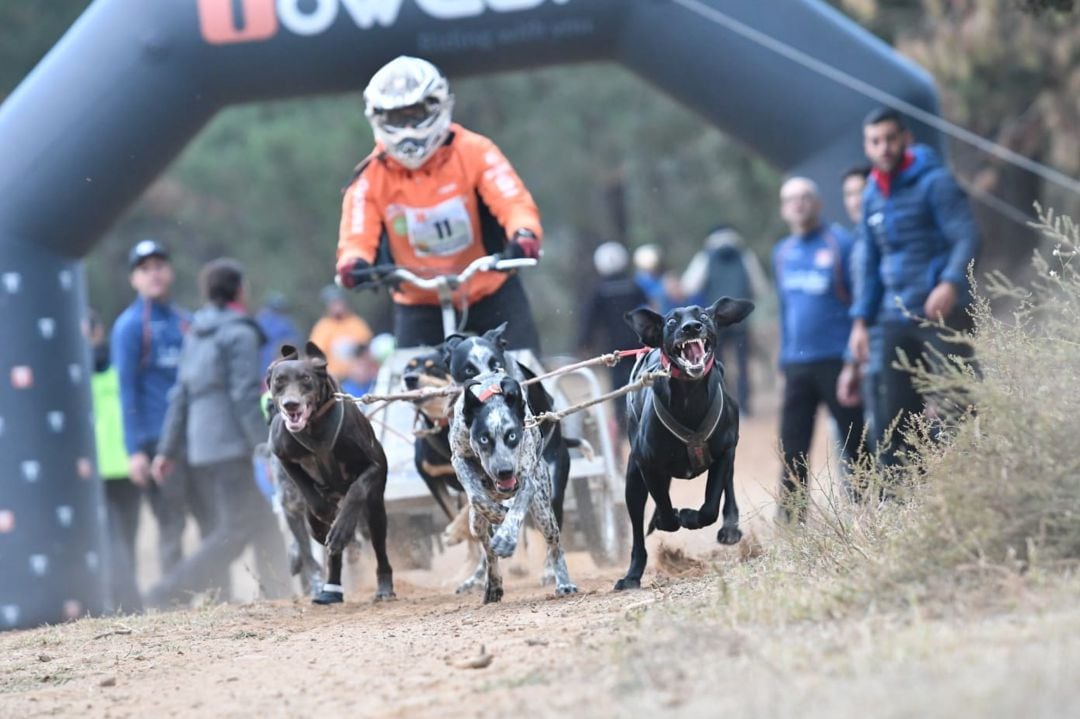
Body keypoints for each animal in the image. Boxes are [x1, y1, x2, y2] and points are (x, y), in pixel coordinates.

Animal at [267, 341, 395, 600]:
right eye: (279, 381)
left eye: (306, 378)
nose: (291, 404)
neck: (314, 428)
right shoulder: (283, 456)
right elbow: (307, 489)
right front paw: (325, 509)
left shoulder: (374, 465)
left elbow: (356, 491)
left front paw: (342, 528)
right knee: (328, 550)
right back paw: (331, 589)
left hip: (376, 511)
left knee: (377, 545)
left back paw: (383, 585)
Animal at [449, 369, 578, 600]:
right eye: (484, 439)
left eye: (512, 435)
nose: (505, 471)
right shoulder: (459, 459)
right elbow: (477, 497)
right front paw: (498, 515)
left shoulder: (527, 481)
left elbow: (516, 512)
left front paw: (506, 538)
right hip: (476, 524)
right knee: (487, 550)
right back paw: (493, 584)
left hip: (544, 513)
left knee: (554, 546)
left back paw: (563, 582)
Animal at [613, 295, 756, 587]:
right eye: (670, 321)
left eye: (703, 316)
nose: (691, 327)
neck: (690, 397)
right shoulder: (647, 465)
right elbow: (666, 513)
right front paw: (671, 516)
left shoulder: (725, 451)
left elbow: (711, 504)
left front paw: (691, 517)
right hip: (633, 480)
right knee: (638, 531)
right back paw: (632, 575)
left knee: (728, 488)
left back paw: (730, 528)